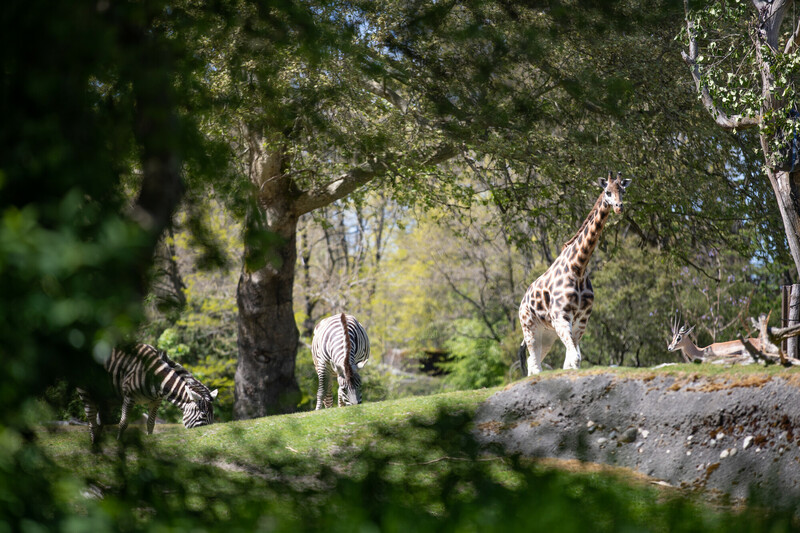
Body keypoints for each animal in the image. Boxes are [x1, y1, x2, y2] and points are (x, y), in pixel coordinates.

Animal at [77, 343, 218, 444]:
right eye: (203, 415)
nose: (209, 436)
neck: (156, 377)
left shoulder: (156, 401)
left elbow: (151, 424)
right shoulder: (129, 397)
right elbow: (123, 423)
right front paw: (119, 444)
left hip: (107, 400)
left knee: (100, 422)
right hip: (85, 390)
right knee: (91, 421)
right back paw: (93, 447)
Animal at [519, 171, 630, 375]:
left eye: (623, 191)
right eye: (608, 192)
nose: (619, 207)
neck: (578, 268)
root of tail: (522, 302)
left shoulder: (582, 320)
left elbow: (572, 361)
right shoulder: (561, 317)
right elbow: (575, 358)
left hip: (547, 334)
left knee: (533, 362)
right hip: (530, 327)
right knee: (534, 365)